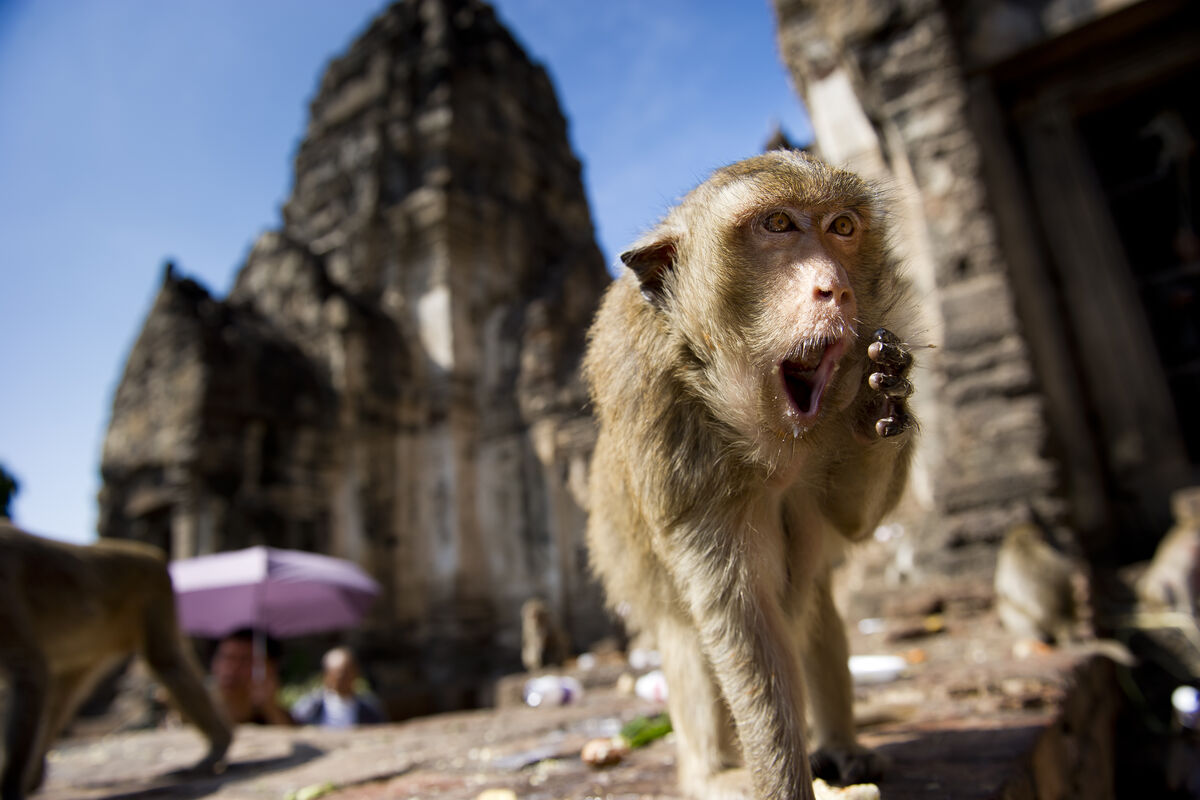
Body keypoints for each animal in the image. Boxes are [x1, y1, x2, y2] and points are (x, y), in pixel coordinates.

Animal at [0, 522, 231, 796]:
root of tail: (152, 553)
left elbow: (29, 671)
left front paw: (10, 784)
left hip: (151, 592)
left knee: (166, 662)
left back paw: (219, 745)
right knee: (62, 696)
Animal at [585, 151, 912, 800]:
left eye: (842, 227)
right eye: (778, 225)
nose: (835, 286)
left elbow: (852, 523)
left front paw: (879, 408)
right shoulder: (665, 432)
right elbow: (745, 617)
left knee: (814, 597)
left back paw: (840, 748)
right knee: (687, 637)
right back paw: (714, 776)